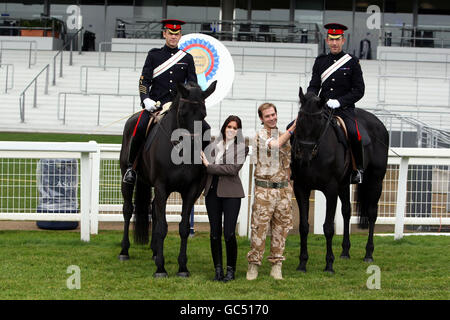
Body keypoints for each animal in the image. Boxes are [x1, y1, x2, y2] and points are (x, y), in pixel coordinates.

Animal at [118, 80, 217, 278]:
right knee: (128, 210)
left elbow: (183, 227)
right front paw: (161, 268)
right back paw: (125, 251)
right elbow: (163, 227)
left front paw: (182, 268)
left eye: (203, 115)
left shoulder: (191, 191)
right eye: (182, 112)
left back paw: (155, 252)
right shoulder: (162, 187)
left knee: (154, 210)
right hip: (127, 178)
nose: (193, 150)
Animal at [290, 87, 388, 272]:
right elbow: (304, 226)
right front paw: (302, 263)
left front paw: (329, 264)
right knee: (347, 212)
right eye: (299, 119)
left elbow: (328, 227)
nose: (304, 156)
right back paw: (345, 251)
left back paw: (368, 254)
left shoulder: (330, 189)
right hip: (344, 185)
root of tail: (378, 123)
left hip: (375, 180)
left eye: (319, 121)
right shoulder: (301, 188)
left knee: (372, 214)